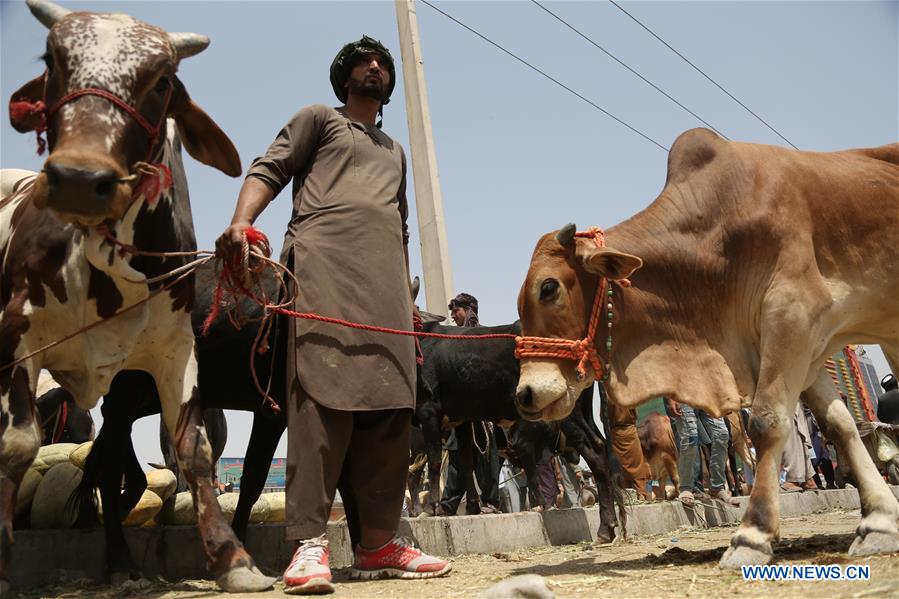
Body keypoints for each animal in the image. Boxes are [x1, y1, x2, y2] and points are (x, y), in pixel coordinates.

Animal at [0, 0, 272, 592]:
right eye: (52, 61)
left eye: (162, 80)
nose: (80, 178)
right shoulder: (19, 337)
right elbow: (17, 446)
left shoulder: (175, 352)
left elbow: (194, 449)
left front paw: (234, 560)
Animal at [512, 129, 899, 568]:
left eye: (548, 287)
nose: (525, 393)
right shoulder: (800, 345)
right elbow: (840, 426)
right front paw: (879, 521)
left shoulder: (793, 315)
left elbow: (768, 422)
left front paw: (752, 534)